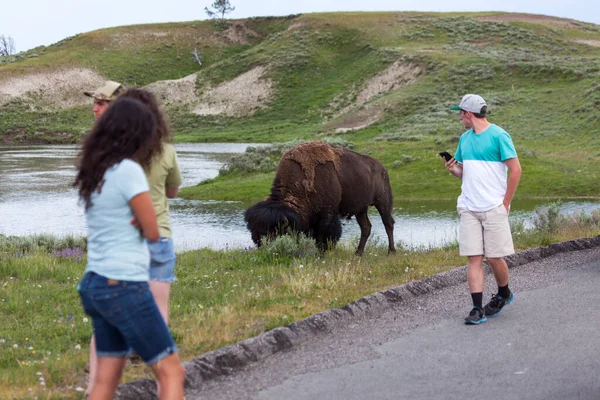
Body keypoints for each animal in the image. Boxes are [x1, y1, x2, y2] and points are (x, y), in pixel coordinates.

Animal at [241, 141, 396, 253]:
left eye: (275, 231)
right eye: (254, 230)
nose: (263, 247)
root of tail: (382, 168)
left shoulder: (327, 214)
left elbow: (323, 235)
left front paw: (321, 252)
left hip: (383, 201)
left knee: (388, 223)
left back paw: (391, 251)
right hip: (361, 209)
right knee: (366, 227)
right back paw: (358, 252)